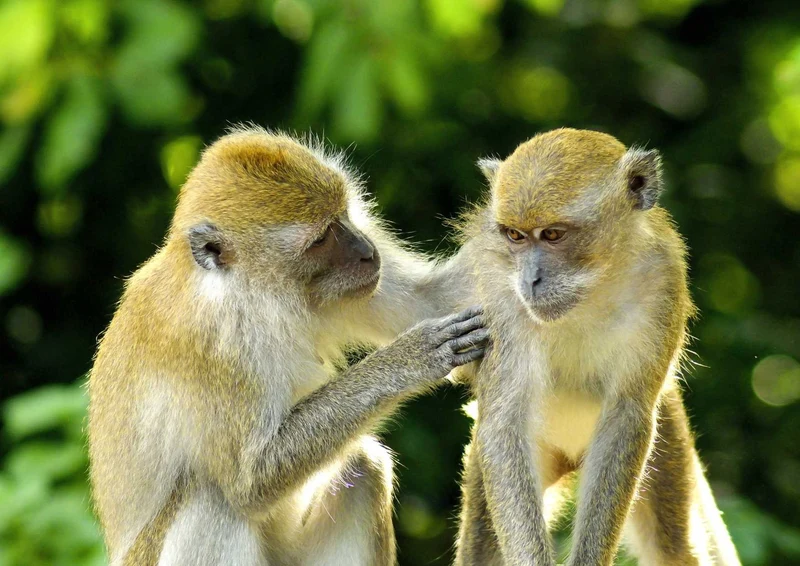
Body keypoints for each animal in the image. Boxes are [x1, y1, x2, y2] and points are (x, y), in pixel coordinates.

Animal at [87, 125, 489, 566]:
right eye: (321, 239)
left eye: (343, 215)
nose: (368, 252)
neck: (250, 293)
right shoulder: (212, 345)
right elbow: (251, 481)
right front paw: (412, 357)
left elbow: (431, 300)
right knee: (213, 500)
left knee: (362, 468)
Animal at [445, 128, 740, 566]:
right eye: (515, 236)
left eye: (553, 235)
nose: (530, 281)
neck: (594, 287)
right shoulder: (500, 293)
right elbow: (504, 421)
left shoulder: (663, 280)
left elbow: (627, 416)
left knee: (676, 545)